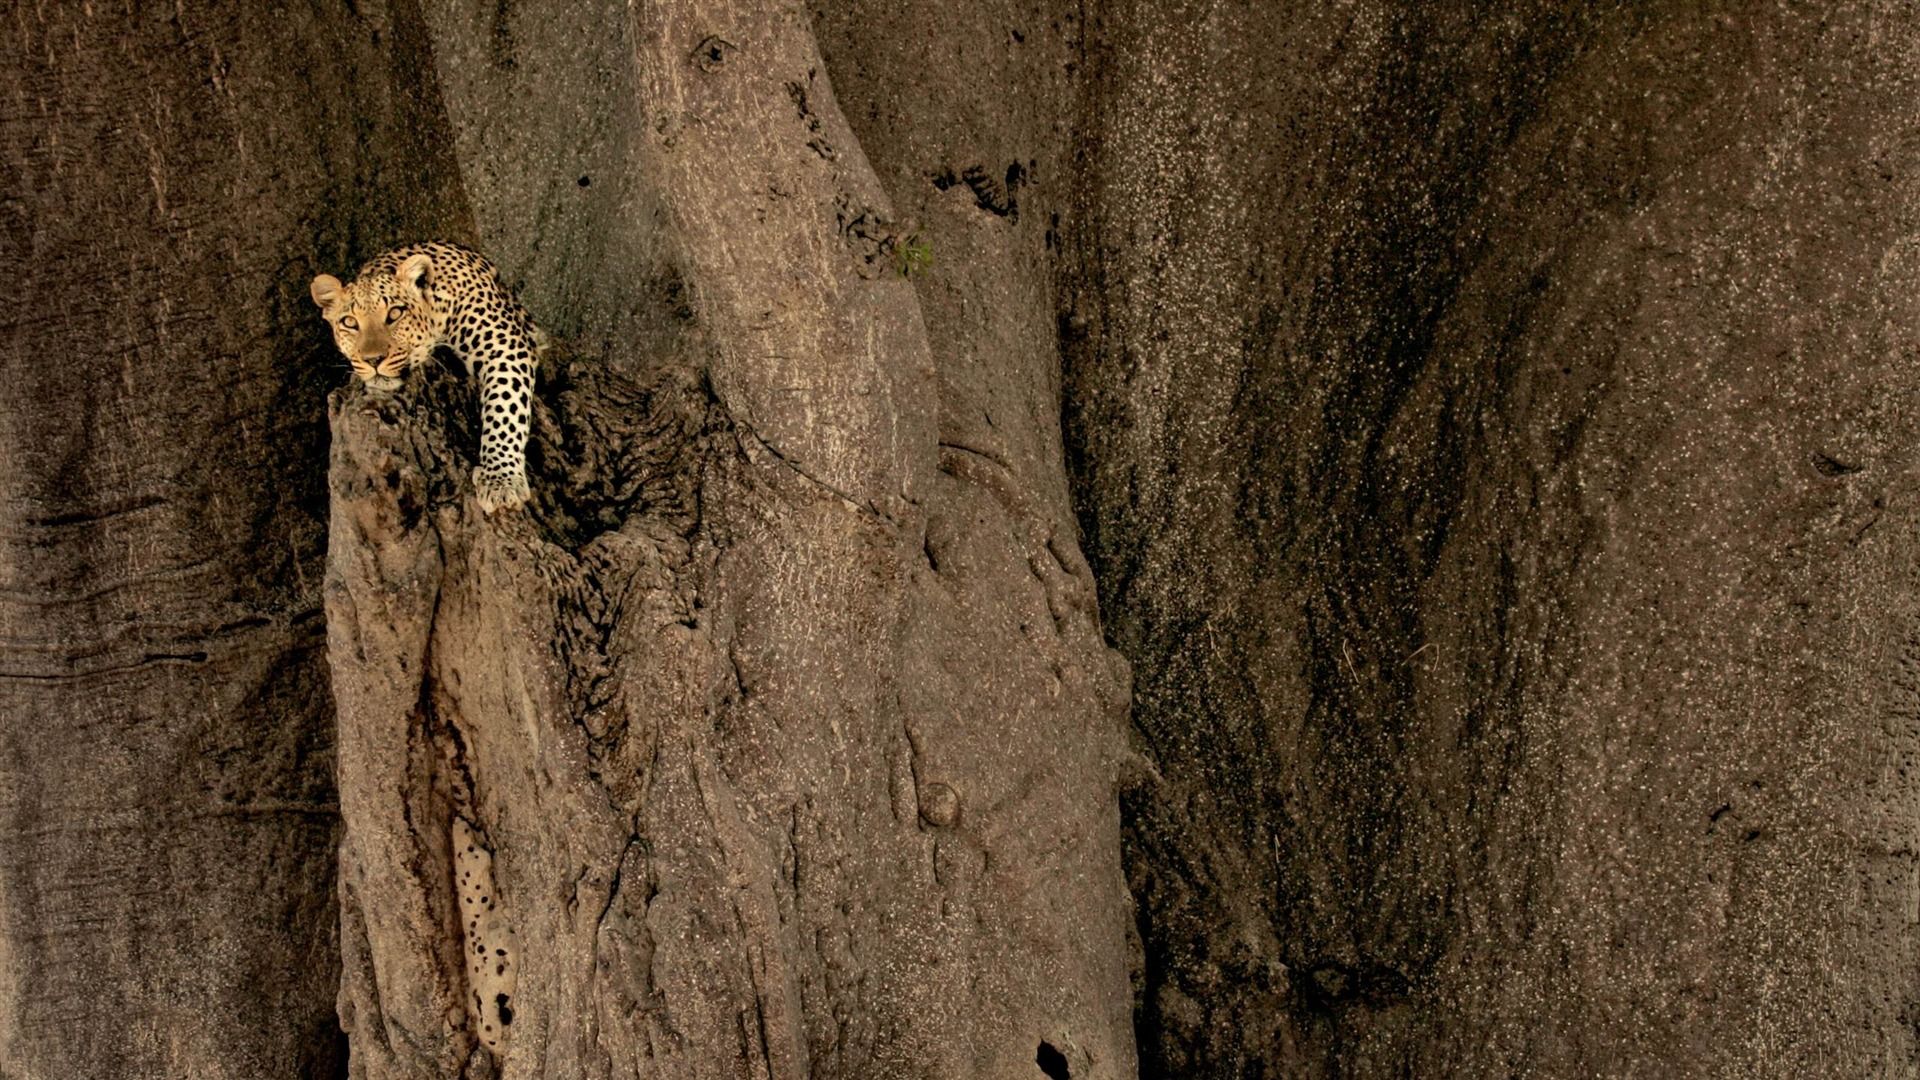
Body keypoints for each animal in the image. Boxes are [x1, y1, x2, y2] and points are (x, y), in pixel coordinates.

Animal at [310, 241, 545, 513]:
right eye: (349, 322)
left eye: (395, 313)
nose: (373, 360)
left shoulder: (505, 347)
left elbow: (505, 409)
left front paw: (500, 481)